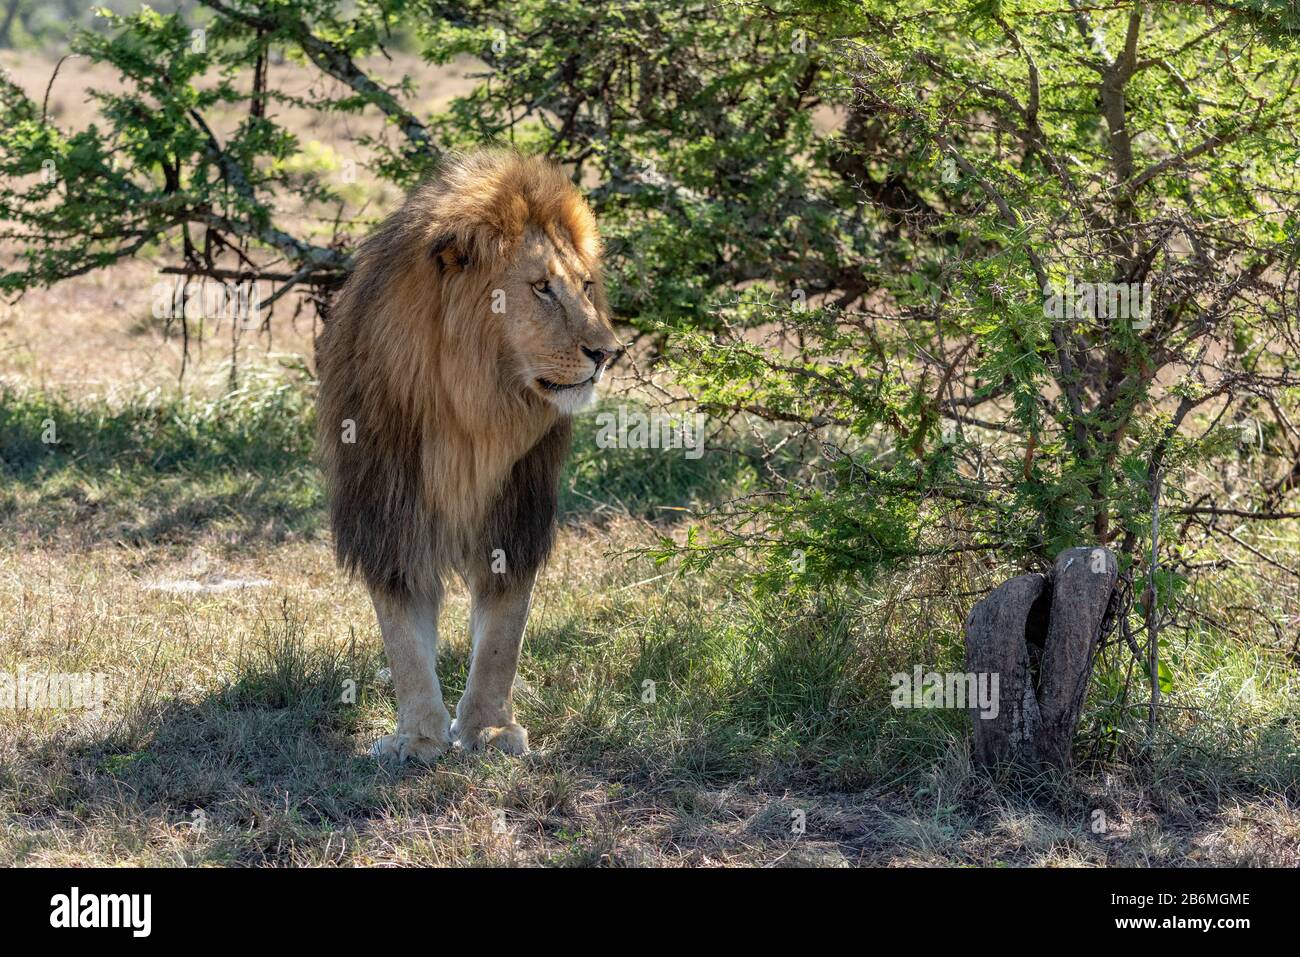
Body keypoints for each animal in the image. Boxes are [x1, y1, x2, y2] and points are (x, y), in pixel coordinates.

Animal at [316, 150, 621, 762]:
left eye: (586, 285)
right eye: (542, 288)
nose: (608, 353)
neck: (472, 410)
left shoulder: (515, 515)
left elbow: (503, 635)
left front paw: (489, 729)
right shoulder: (389, 515)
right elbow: (405, 642)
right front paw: (419, 736)